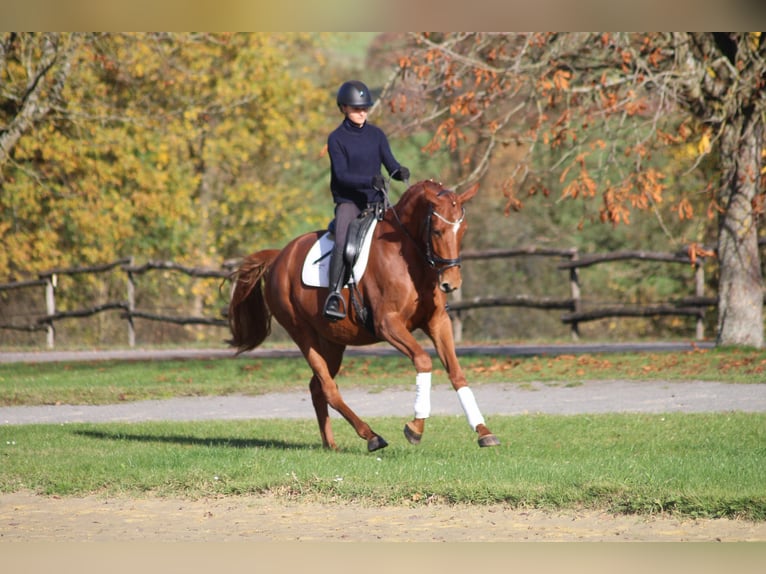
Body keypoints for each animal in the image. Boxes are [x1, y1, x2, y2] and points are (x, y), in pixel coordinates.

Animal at [227, 179, 500, 452]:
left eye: (463, 230)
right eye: (437, 231)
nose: (450, 284)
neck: (409, 256)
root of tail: (279, 256)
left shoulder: (437, 322)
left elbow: (456, 373)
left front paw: (483, 431)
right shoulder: (388, 324)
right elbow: (423, 360)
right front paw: (415, 428)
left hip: (332, 341)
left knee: (317, 387)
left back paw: (331, 445)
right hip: (302, 333)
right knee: (327, 387)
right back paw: (371, 436)